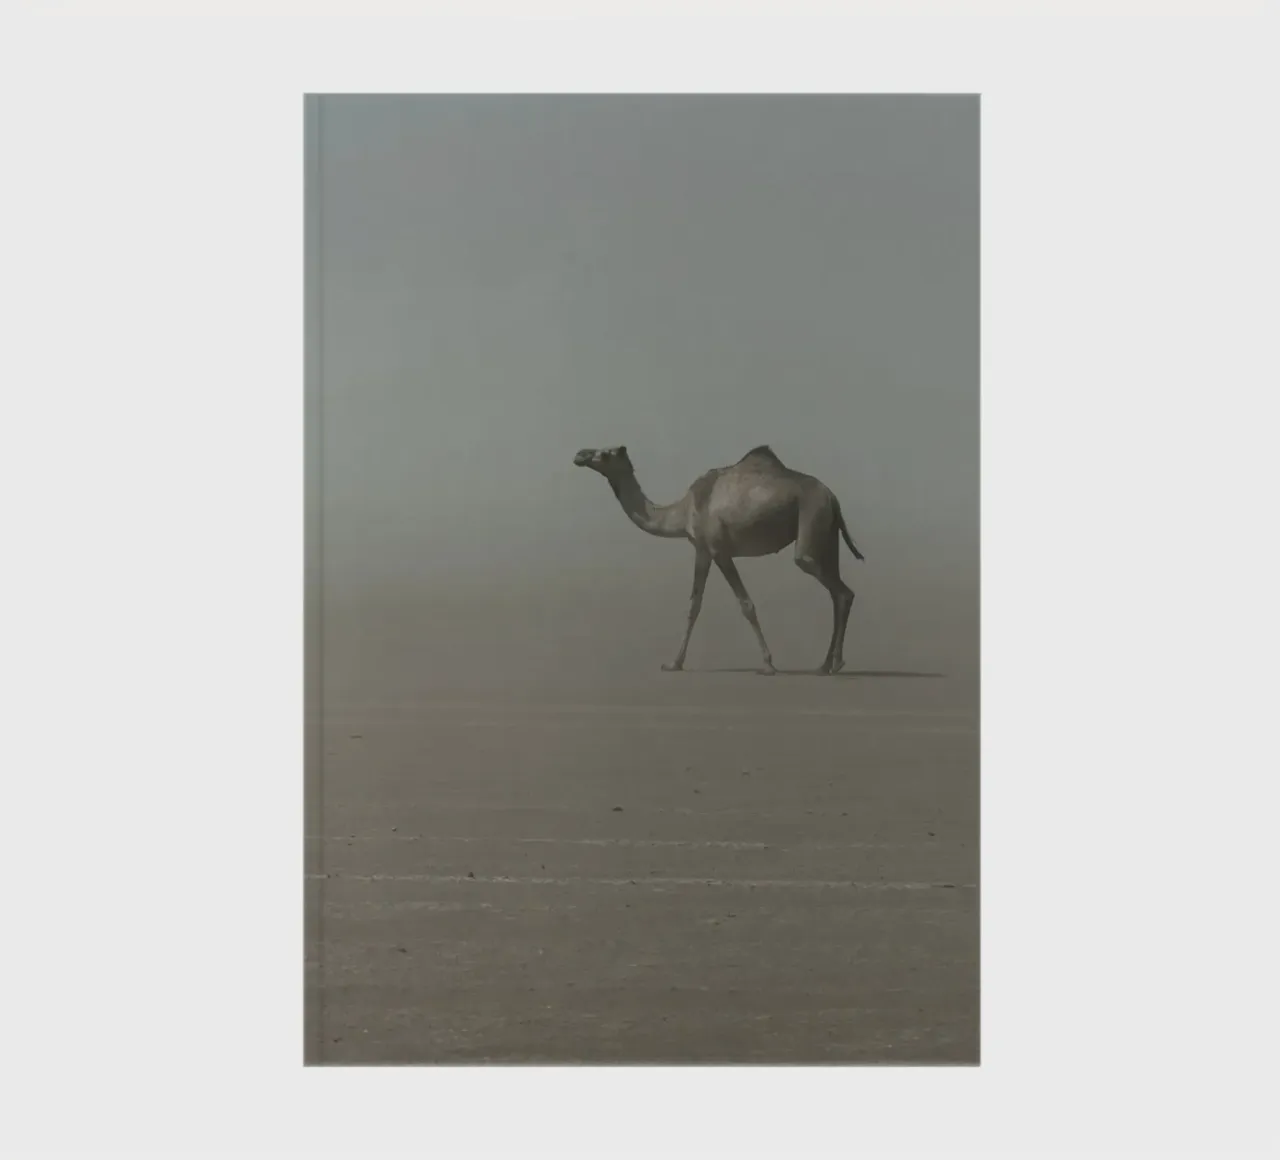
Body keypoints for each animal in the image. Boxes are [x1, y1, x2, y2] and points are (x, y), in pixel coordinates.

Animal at [573, 444, 865, 674]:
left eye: (606, 453)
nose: (580, 454)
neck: (682, 511)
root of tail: (833, 498)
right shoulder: (702, 550)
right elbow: (694, 605)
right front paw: (674, 663)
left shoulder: (718, 549)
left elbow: (746, 604)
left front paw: (768, 665)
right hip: (827, 534)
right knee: (837, 592)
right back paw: (825, 665)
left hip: (811, 521)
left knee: (838, 589)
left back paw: (835, 663)